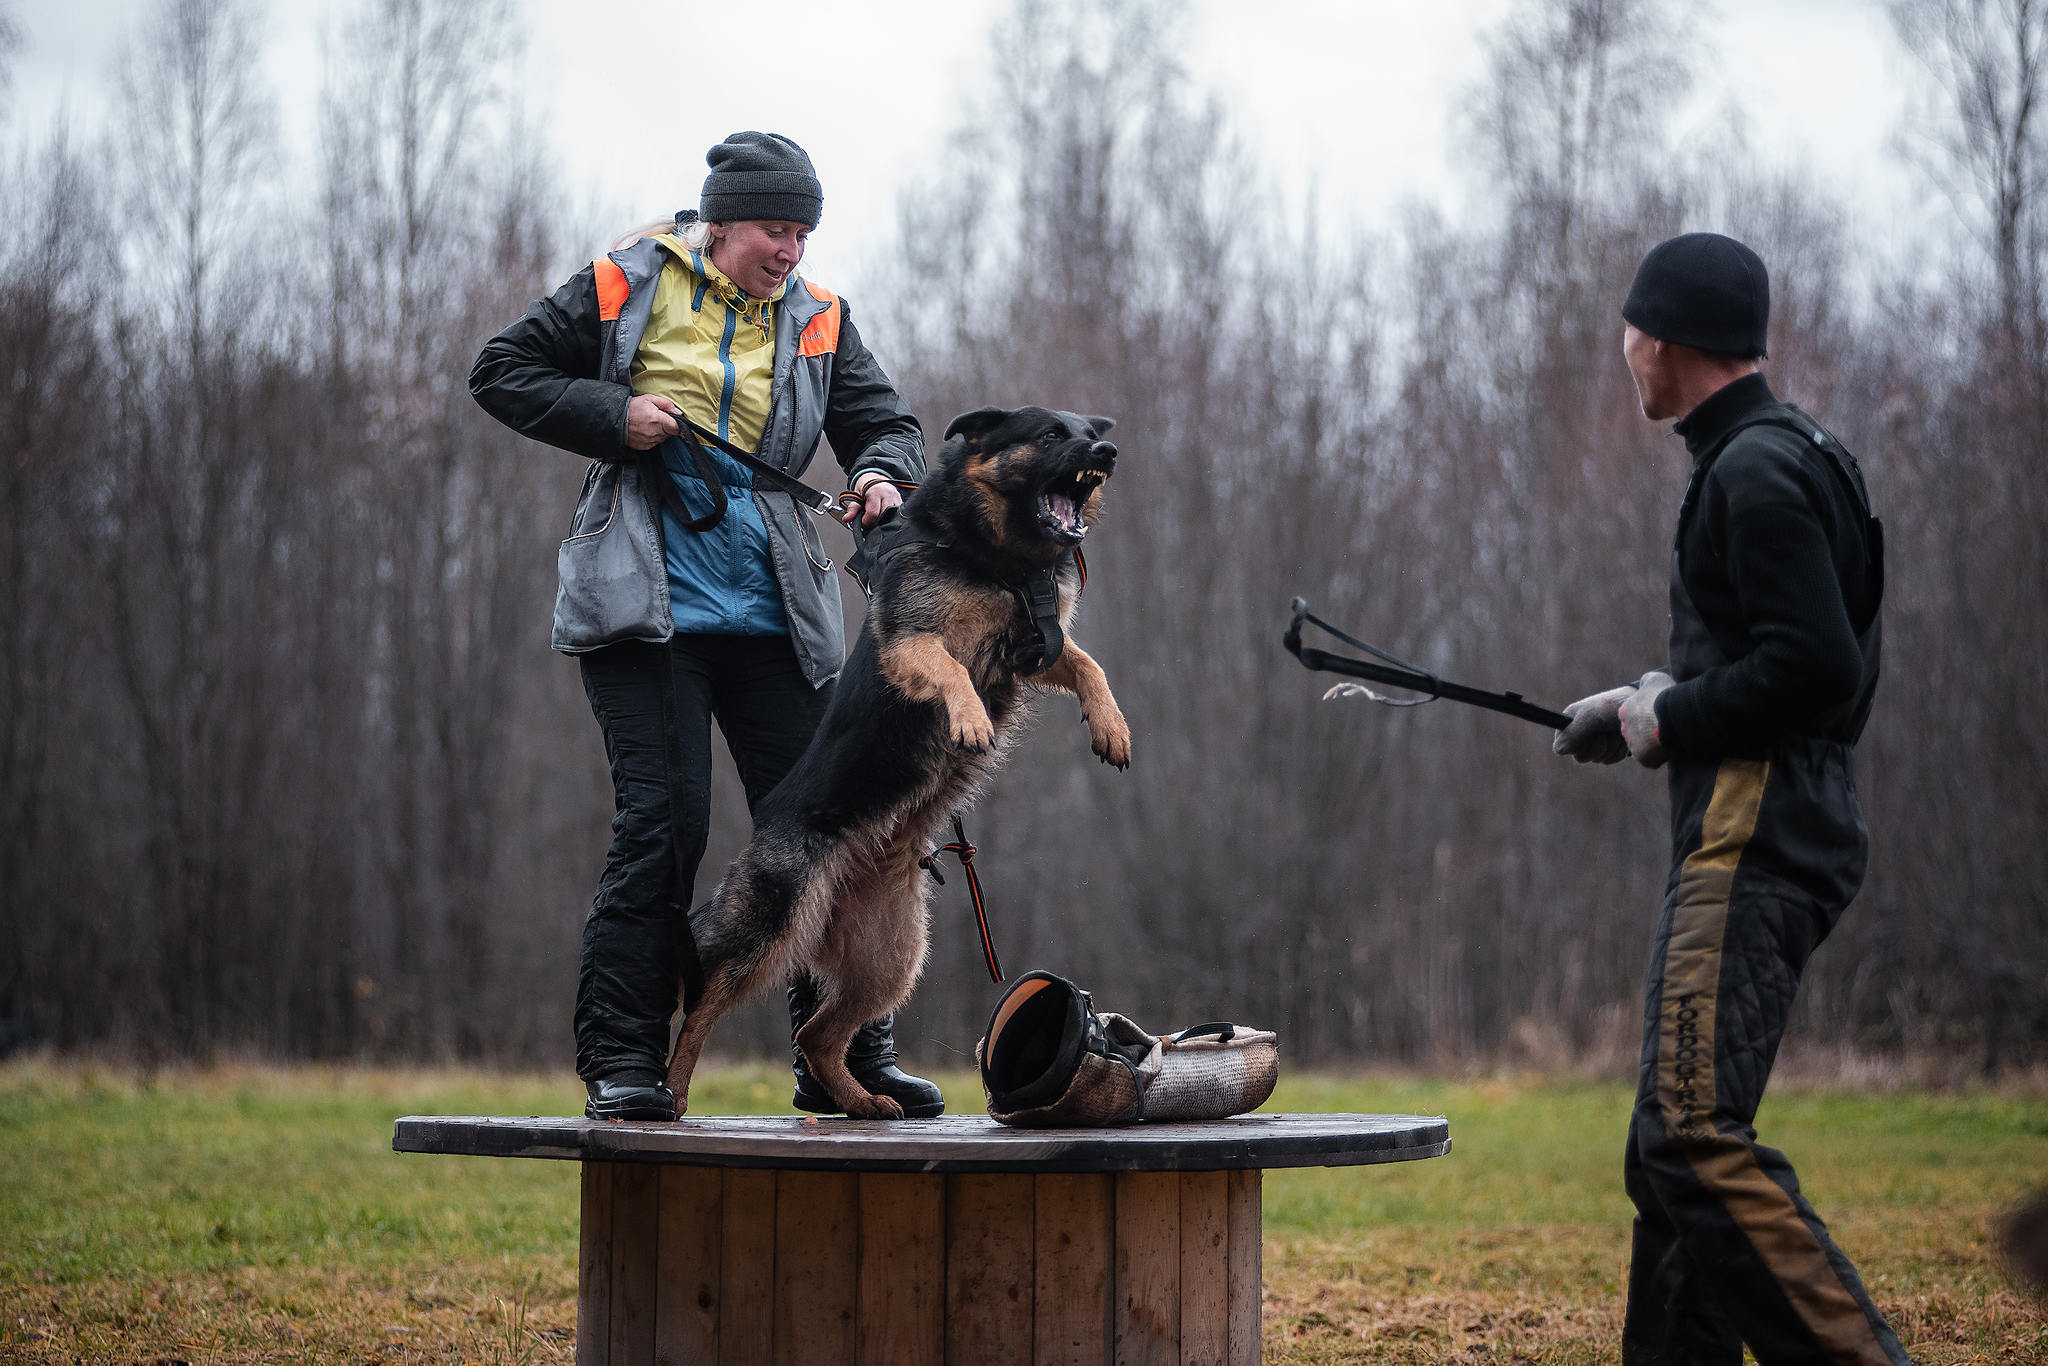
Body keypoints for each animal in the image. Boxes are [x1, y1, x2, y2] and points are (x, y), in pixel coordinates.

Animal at [667, 405, 1122, 1122]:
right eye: (1051, 434)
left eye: (1088, 431)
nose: (1106, 452)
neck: (997, 559)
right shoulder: (912, 644)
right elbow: (949, 667)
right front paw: (969, 720)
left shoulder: (1036, 648)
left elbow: (1086, 662)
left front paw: (1112, 726)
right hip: (770, 929)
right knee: (702, 1005)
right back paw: (669, 1092)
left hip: (894, 959)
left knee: (816, 1033)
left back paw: (861, 1102)